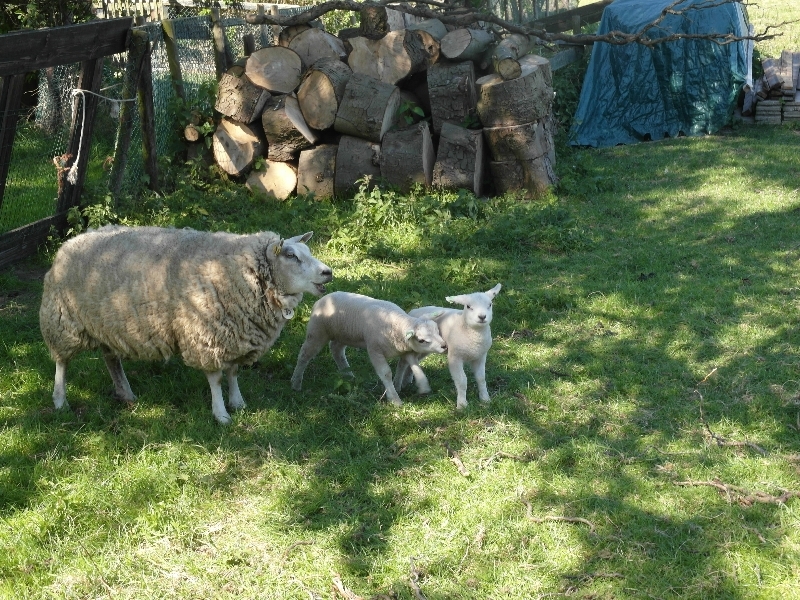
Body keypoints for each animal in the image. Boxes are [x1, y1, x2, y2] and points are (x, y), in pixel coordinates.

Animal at [36, 223, 332, 424]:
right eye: (291, 256)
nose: (328, 272)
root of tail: (71, 242)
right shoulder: (206, 336)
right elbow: (216, 378)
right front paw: (221, 414)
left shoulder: (235, 334)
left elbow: (233, 372)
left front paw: (238, 402)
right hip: (62, 320)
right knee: (61, 362)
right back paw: (60, 400)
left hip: (108, 324)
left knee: (111, 358)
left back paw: (126, 392)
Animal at [290, 290, 450, 404]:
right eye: (422, 340)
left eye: (437, 330)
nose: (444, 346)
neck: (397, 324)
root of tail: (323, 298)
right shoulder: (374, 350)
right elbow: (386, 373)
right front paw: (395, 399)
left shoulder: (407, 350)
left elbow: (414, 366)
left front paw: (423, 386)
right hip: (317, 332)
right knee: (304, 354)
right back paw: (296, 382)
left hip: (345, 334)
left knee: (336, 349)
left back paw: (348, 375)